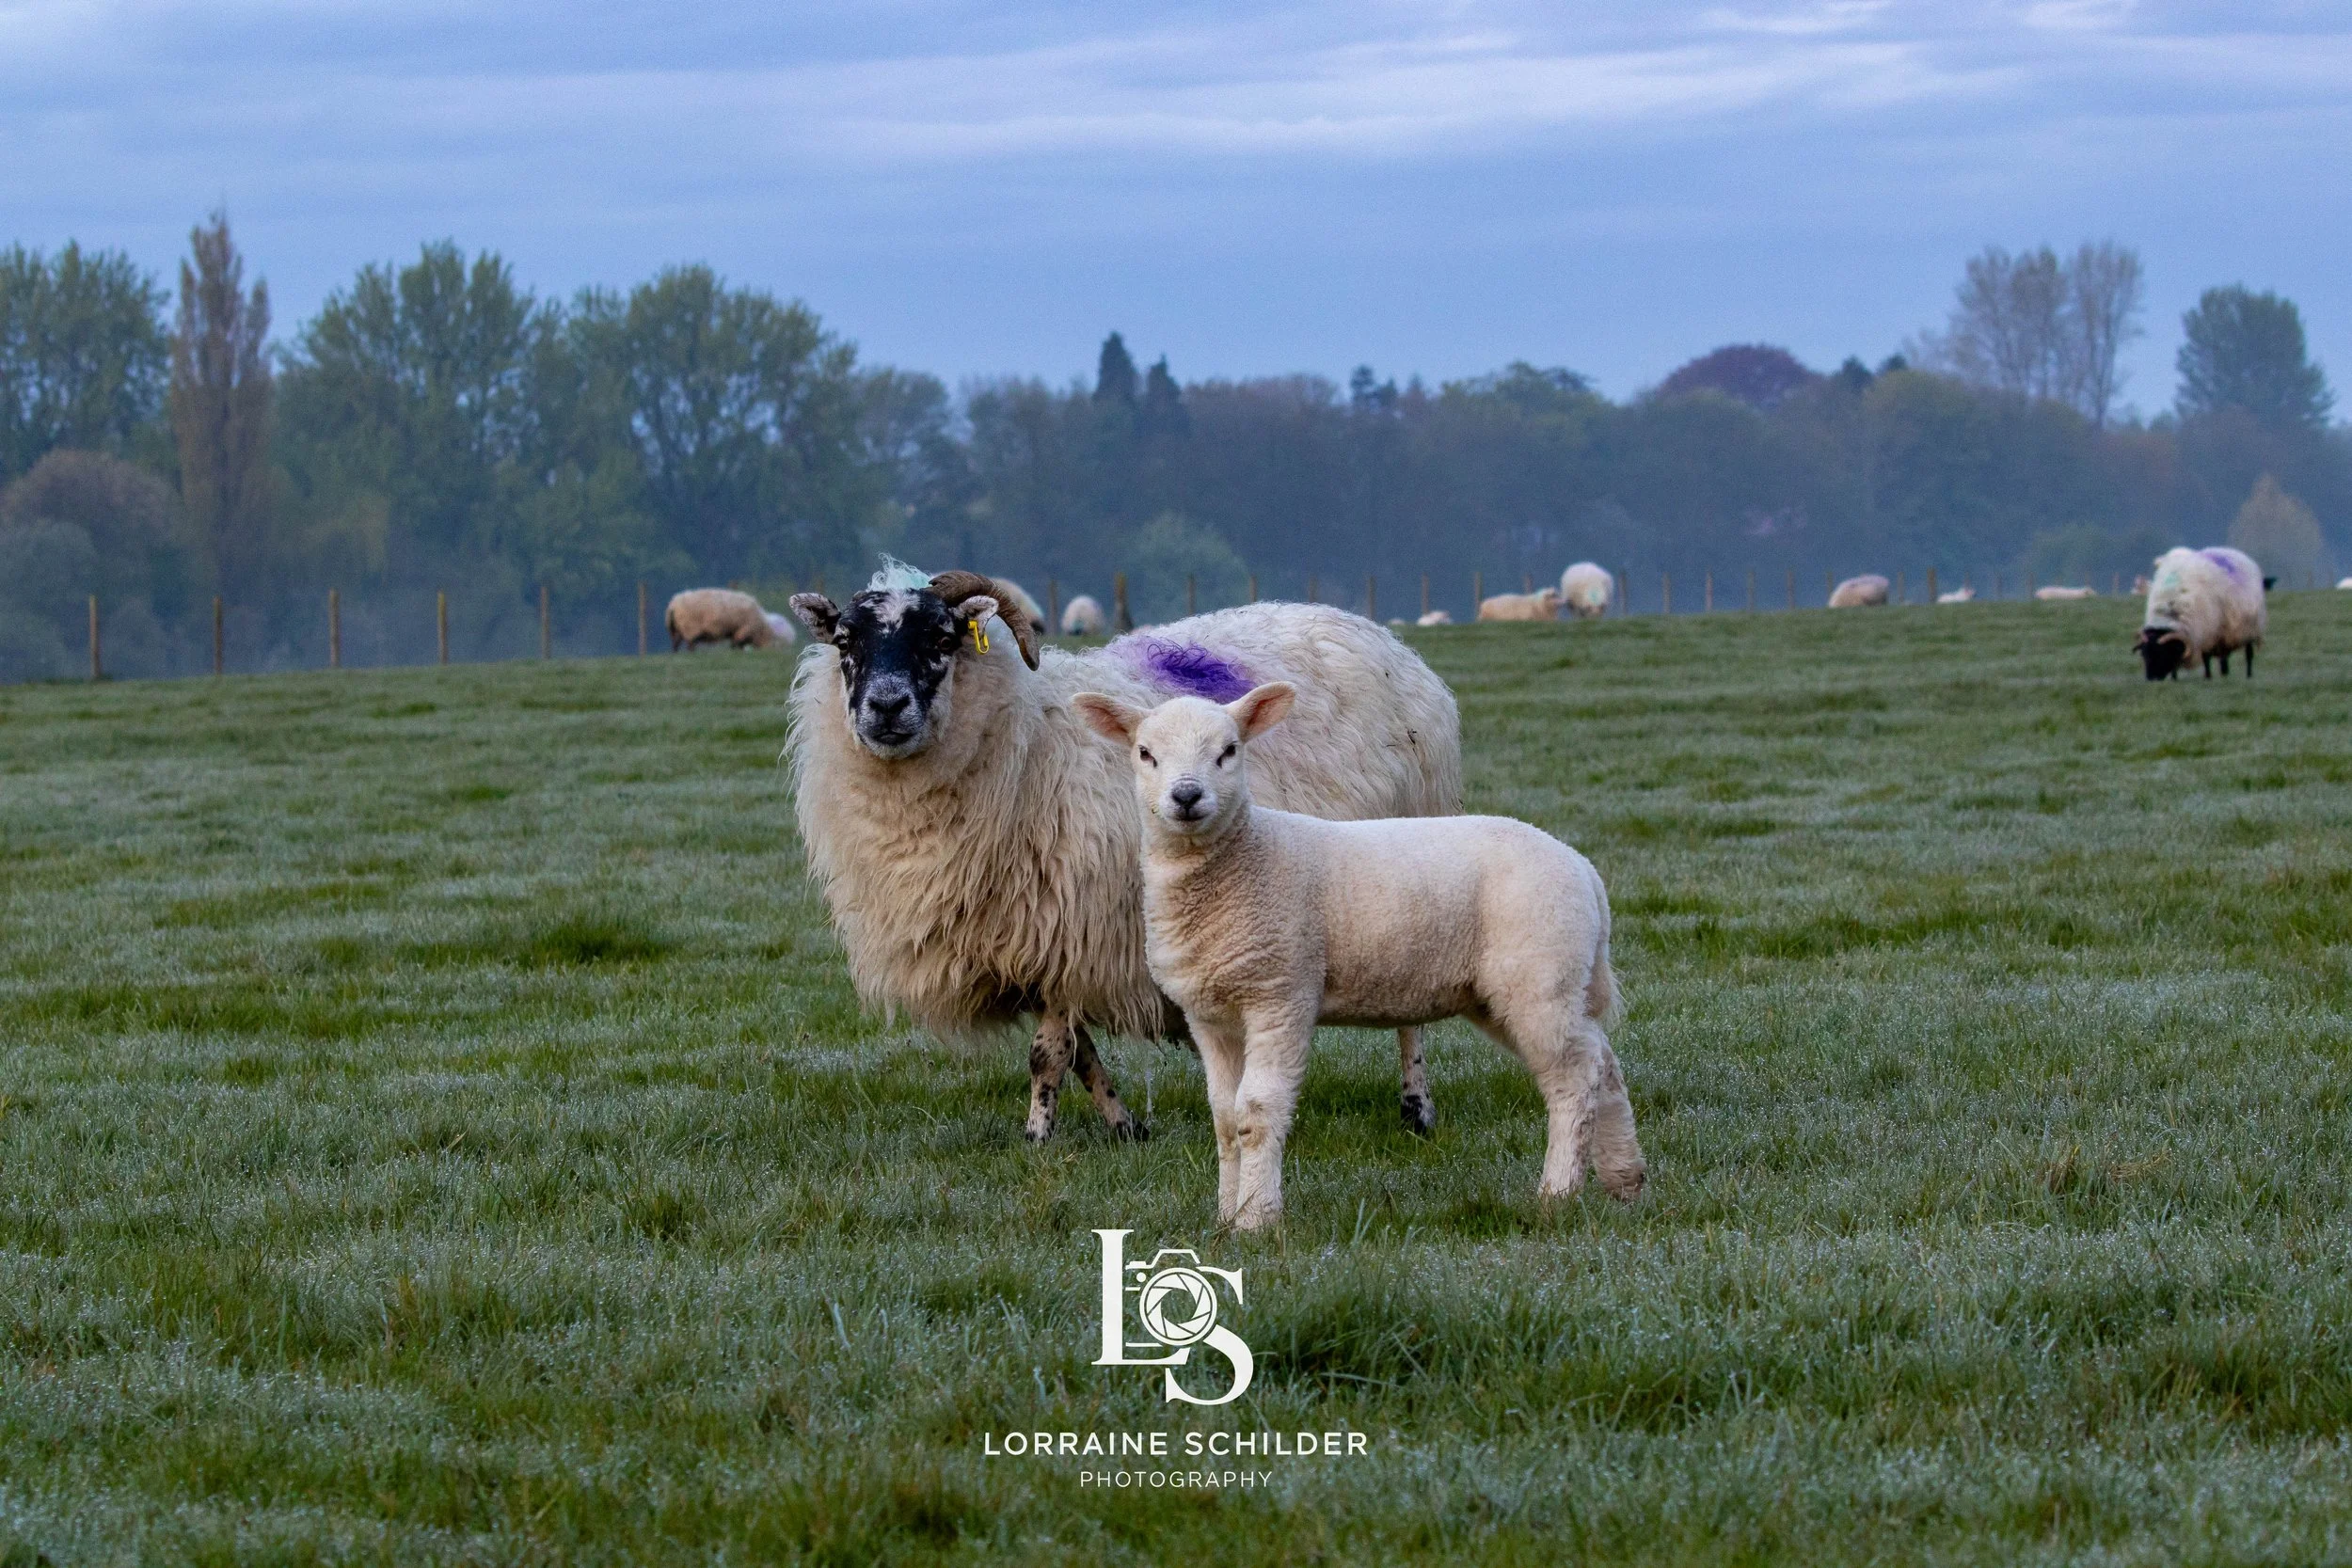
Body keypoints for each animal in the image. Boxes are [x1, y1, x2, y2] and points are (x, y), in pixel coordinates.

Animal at [786, 564, 1462, 1146]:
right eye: (845, 640)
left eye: (942, 637)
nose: (886, 706)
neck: (1030, 740)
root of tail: (1380, 636)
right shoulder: (1035, 943)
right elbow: (1082, 1053)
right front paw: (1123, 1125)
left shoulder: (1071, 923)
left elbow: (1048, 1053)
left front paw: (1037, 1138)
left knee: (1411, 1012)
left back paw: (1417, 1110)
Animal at [1072, 683, 1644, 1230]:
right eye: (1145, 753)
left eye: (1229, 750)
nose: (1187, 796)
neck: (1239, 861)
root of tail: (1582, 868)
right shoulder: (1210, 1015)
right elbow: (1225, 1120)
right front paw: (1225, 1218)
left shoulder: (1281, 994)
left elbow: (1256, 1113)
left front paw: (1256, 1220)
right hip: (1517, 989)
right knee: (1602, 1061)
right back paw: (1625, 1178)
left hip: (1538, 973)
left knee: (1574, 1077)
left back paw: (1557, 1194)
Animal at [2135, 546, 2268, 680]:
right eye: (2144, 654)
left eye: (2162, 653)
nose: (2151, 679)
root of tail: (2233, 551)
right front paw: (2174, 678)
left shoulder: (2207, 634)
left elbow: (2206, 658)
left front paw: (2208, 677)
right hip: (2225, 634)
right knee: (2224, 658)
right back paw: (2224, 674)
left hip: (2248, 630)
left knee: (2248, 654)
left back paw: (2248, 675)